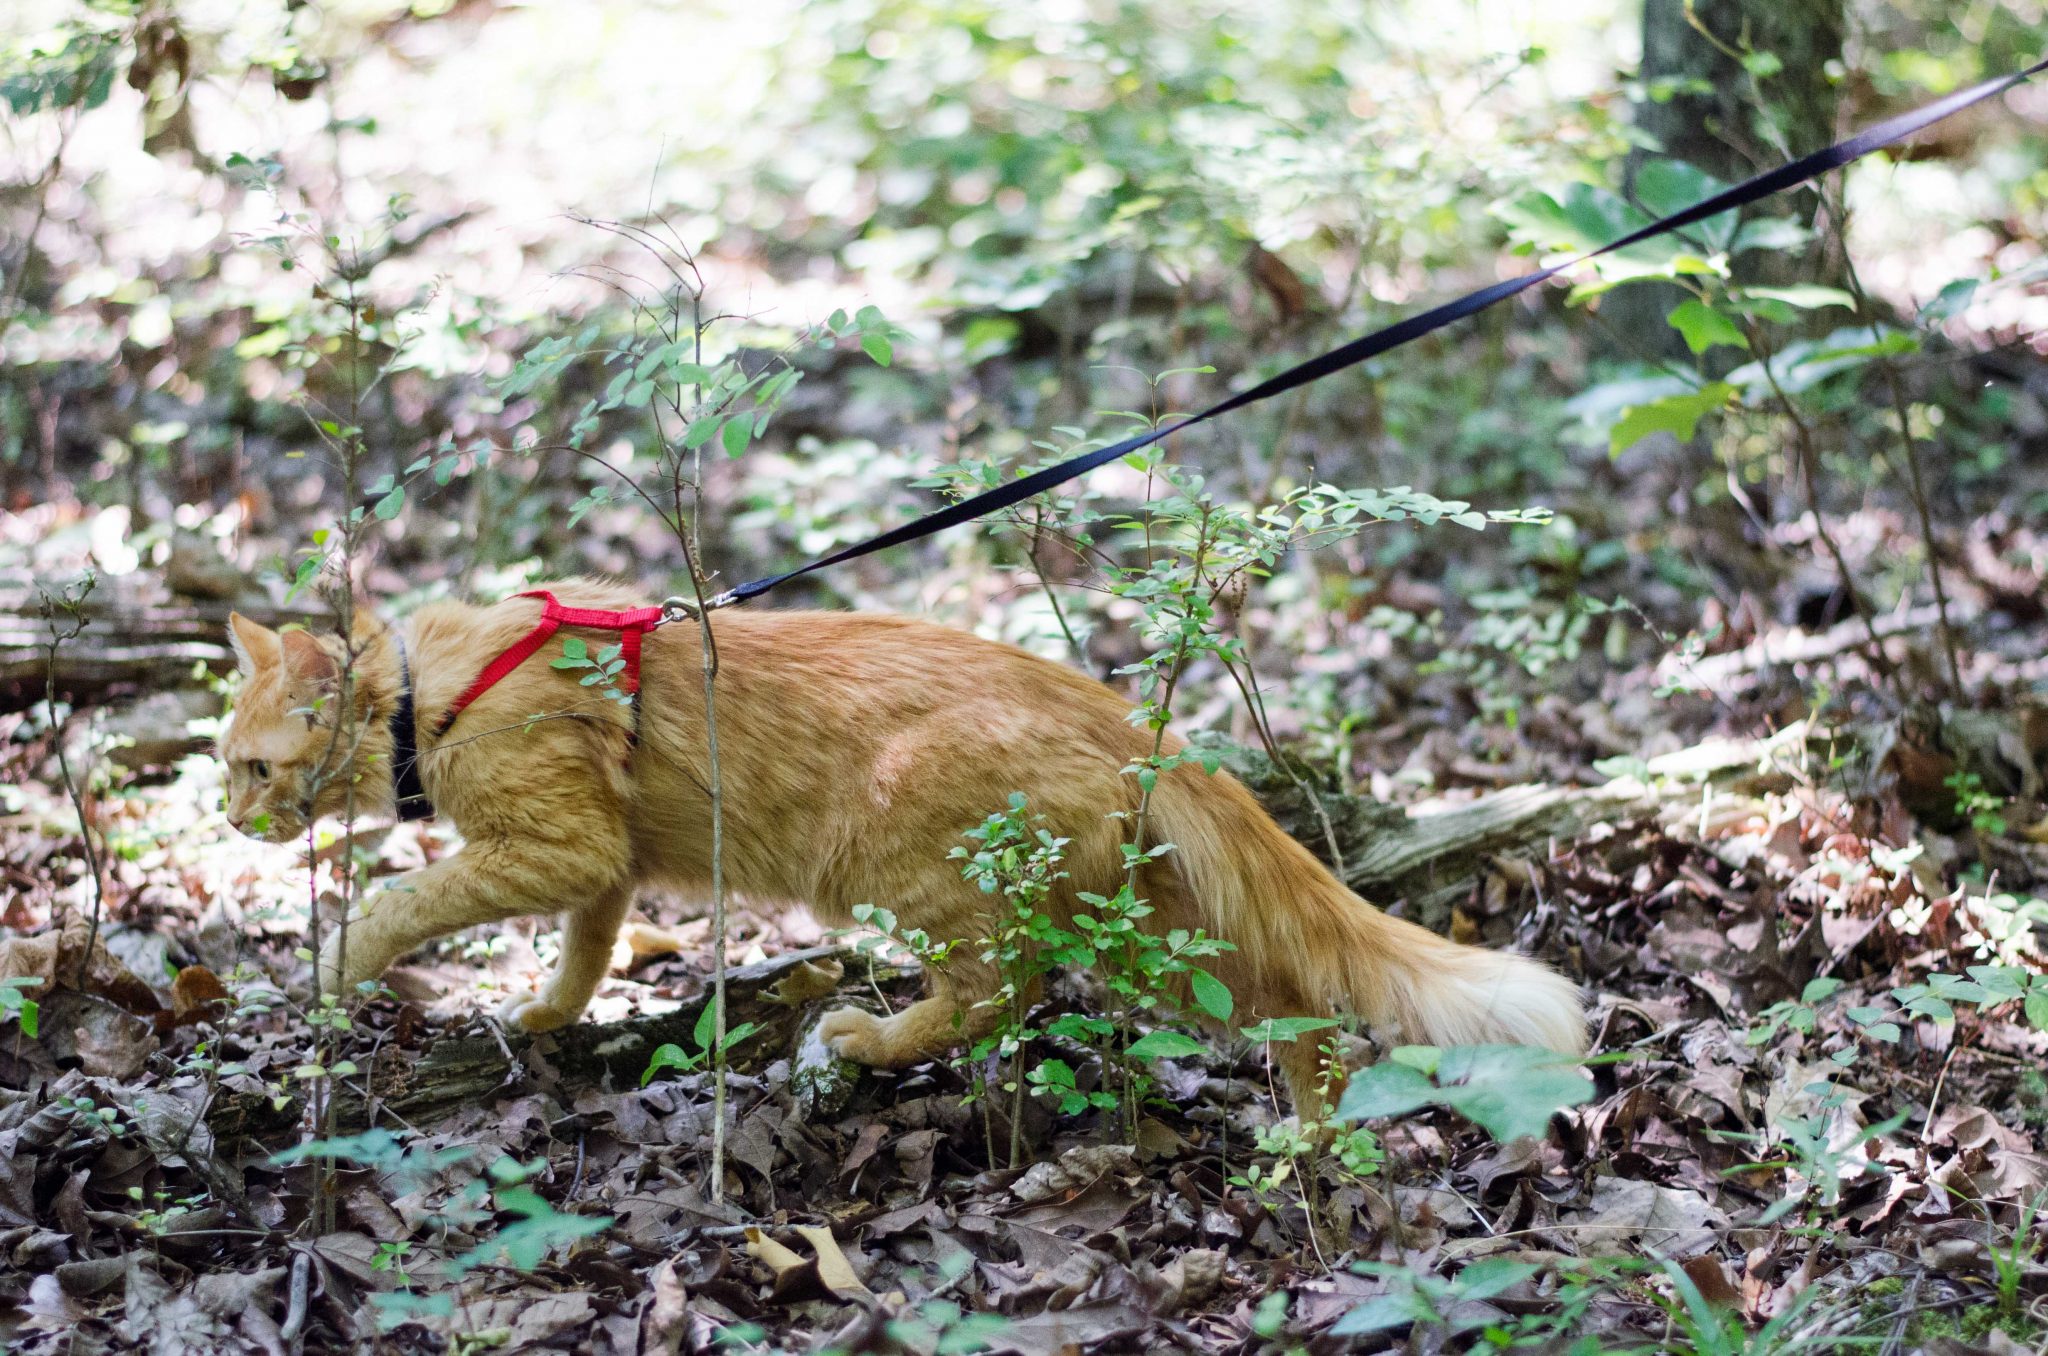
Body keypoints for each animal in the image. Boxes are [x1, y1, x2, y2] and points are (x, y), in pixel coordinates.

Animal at [224, 581, 1581, 1106]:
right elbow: (583, 950)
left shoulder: (556, 845)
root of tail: (1124, 718)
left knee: (998, 994)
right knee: (1289, 1000)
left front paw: (331, 970)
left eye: (249, 766)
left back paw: (861, 1041)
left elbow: (401, 902)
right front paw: (548, 1017)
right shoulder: (600, 869)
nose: (227, 820)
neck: (434, 693)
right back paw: (1313, 1136)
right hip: (1146, 916)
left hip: (898, 864)